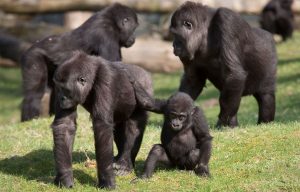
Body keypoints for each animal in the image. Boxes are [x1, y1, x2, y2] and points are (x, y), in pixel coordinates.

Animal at [51, 51, 152, 189]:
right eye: (58, 88)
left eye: (65, 89)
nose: (61, 98)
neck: (93, 76)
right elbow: (64, 125)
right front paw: (65, 177)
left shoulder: (106, 79)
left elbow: (102, 127)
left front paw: (107, 181)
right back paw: (118, 159)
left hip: (145, 89)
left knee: (133, 129)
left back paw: (124, 164)